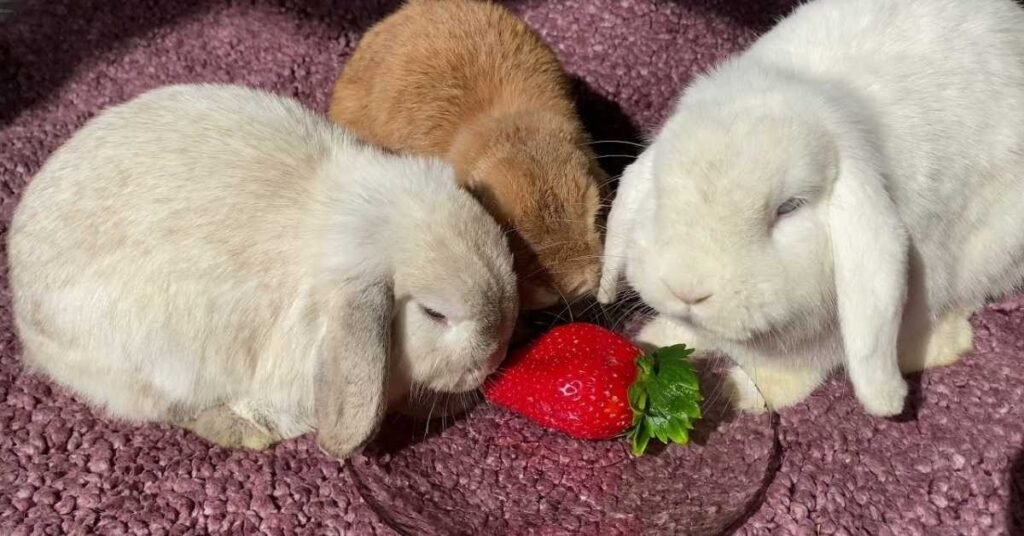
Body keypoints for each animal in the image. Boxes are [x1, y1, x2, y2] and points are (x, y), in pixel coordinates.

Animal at [599, 0, 1024, 417]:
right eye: (659, 188)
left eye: (790, 207)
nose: (687, 289)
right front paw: (656, 336)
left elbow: (791, 376)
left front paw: (744, 393)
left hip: (990, 257)